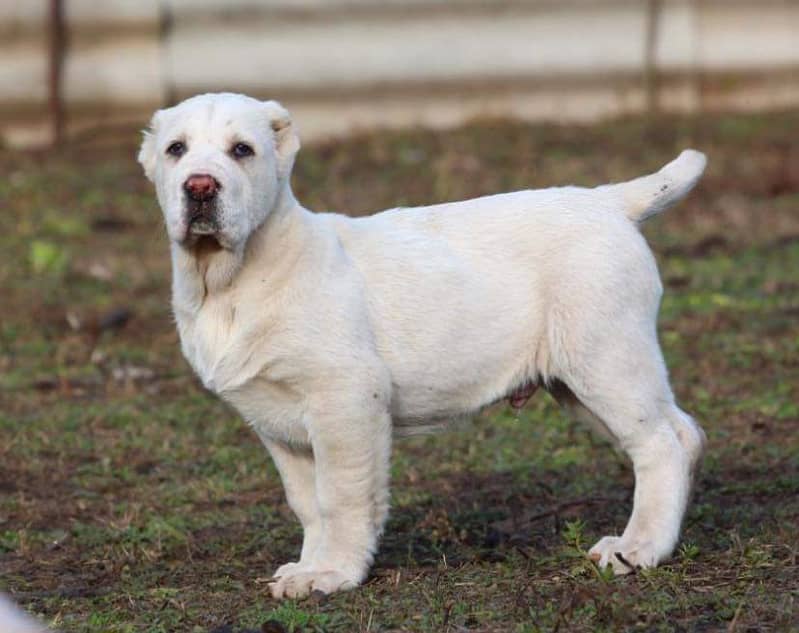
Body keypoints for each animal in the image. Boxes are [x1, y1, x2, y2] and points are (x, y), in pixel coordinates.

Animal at [141, 94, 708, 596]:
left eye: (242, 150)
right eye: (176, 149)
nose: (199, 186)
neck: (230, 281)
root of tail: (607, 200)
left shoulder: (346, 400)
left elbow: (341, 497)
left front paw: (334, 573)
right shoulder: (280, 424)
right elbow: (309, 503)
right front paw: (308, 566)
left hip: (604, 359)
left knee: (662, 443)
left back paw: (638, 549)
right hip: (579, 381)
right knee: (680, 434)